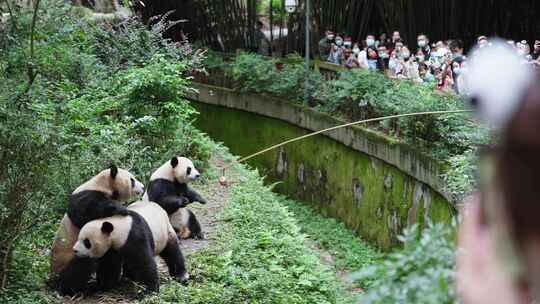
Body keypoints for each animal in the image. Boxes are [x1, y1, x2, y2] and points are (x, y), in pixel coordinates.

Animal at [49, 165, 143, 296]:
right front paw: (121, 209)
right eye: (132, 180)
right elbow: (85, 212)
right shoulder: (84, 196)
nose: (143, 187)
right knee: (80, 268)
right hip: (70, 256)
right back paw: (71, 289)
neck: (102, 184)